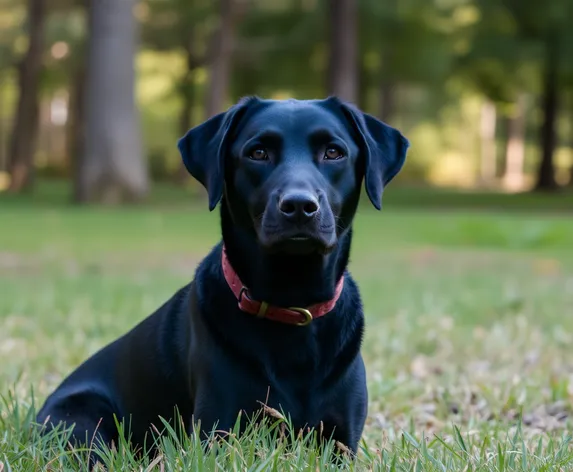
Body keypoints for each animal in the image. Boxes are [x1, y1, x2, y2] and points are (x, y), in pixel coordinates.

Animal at [35, 96, 408, 460]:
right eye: (258, 152)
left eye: (333, 152)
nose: (300, 206)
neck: (291, 299)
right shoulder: (218, 433)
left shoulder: (341, 441)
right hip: (80, 423)